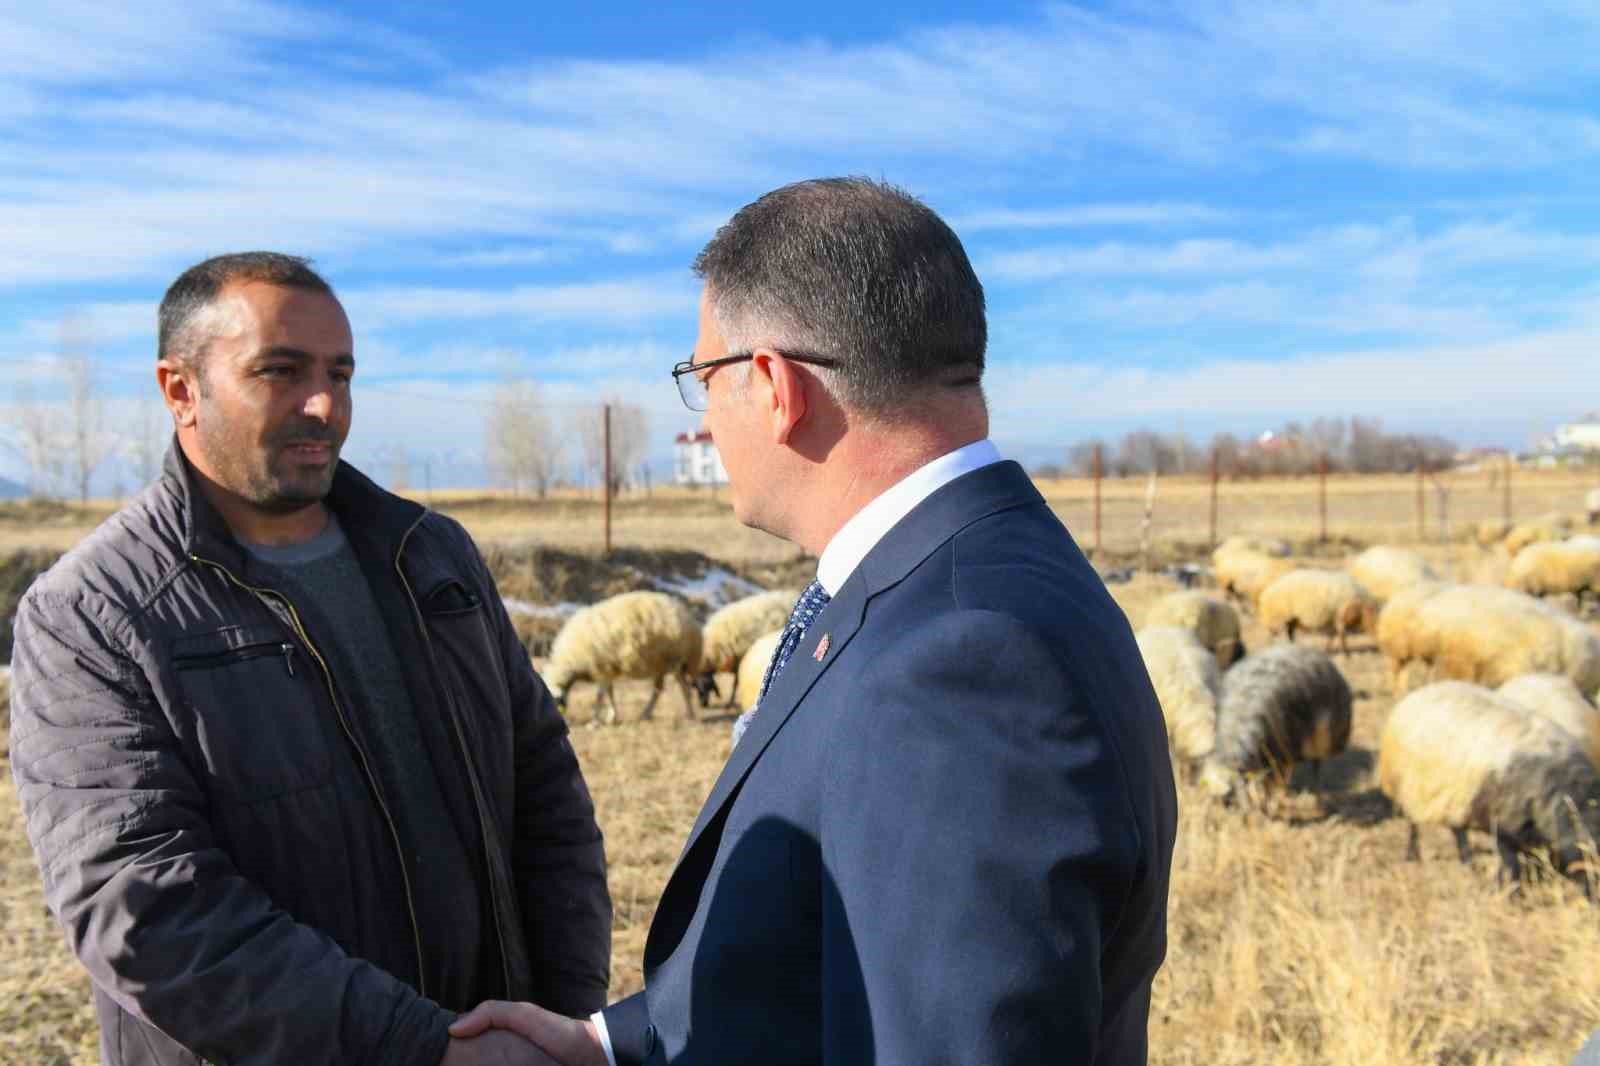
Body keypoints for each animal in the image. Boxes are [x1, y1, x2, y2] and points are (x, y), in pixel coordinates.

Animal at [544, 589, 700, 723]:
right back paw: (649, 714)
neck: (571, 659)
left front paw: (595, 721)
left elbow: (600, 695)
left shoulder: (602, 668)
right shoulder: (608, 669)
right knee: (659, 689)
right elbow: (609, 693)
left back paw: (689, 715)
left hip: (675, 660)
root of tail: (686, 615)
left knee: (682, 688)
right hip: (661, 664)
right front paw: (612, 717)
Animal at [1376, 675, 1600, 883]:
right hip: (1408, 786)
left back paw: (1466, 860)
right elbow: (1510, 863)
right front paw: (1507, 888)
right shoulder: (1503, 825)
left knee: (1457, 828)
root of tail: (1421, 691)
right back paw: (1413, 855)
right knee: (1413, 823)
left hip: (1455, 794)